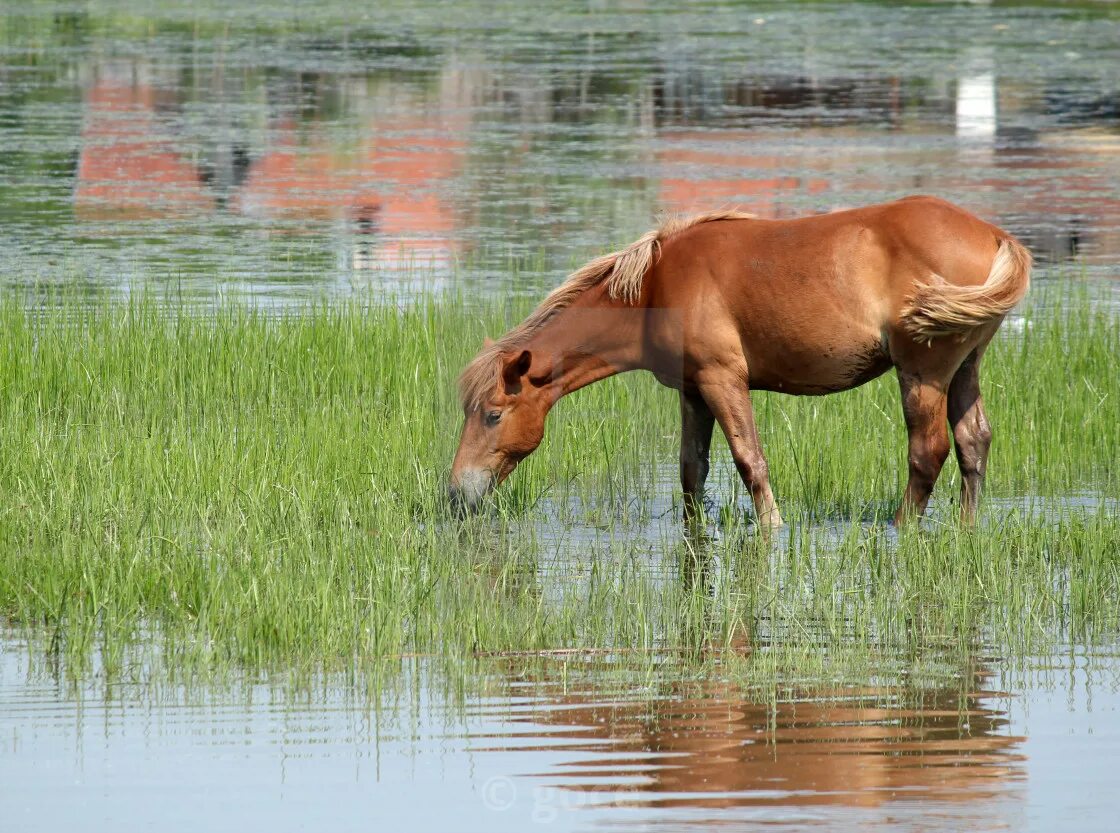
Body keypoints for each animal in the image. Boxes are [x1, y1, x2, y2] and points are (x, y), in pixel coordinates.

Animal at [448, 197, 1030, 526]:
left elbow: (750, 461)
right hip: (965, 367)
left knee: (927, 452)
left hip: (923, 372)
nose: (456, 494)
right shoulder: (691, 390)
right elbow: (692, 470)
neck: (655, 287)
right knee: (973, 442)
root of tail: (995, 235)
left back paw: (900, 528)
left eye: (493, 415)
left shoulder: (721, 378)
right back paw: (966, 527)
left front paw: (772, 528)